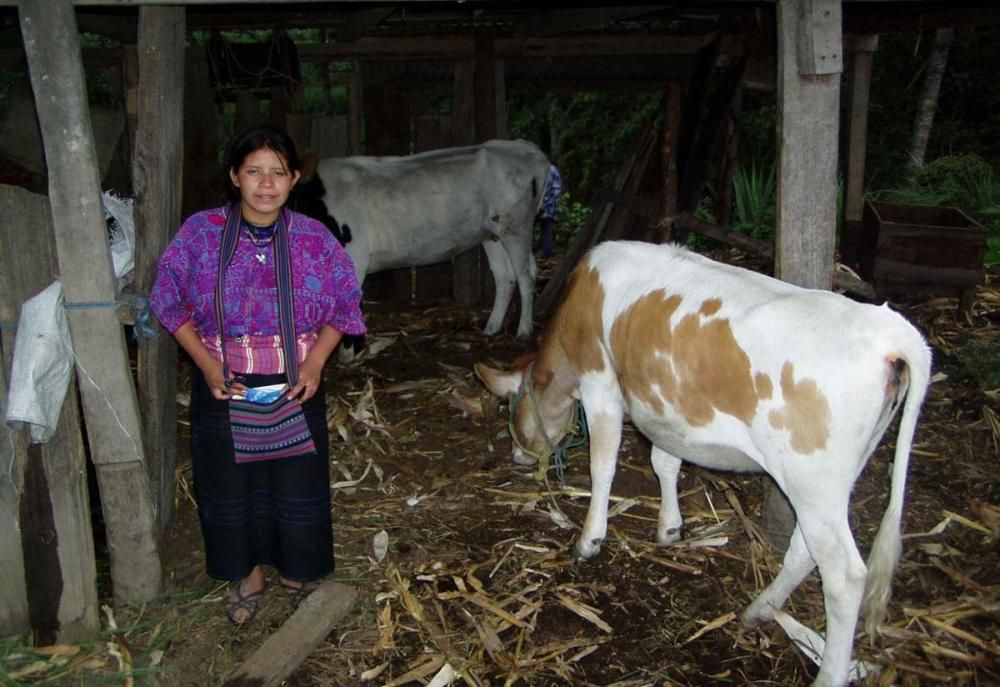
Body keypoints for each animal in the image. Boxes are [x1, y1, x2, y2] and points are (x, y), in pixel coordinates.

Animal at [298, 140, 548, 346]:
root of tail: (525, 148)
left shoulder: (355, 257)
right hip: (491, 233)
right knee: (505, 277)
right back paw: (492, 328)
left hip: (516, 227)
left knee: (526, 275)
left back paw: (524, 331)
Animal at [476, 242, 928, 687]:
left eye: (510, 407)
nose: (517, 456)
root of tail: (890, 331)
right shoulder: (668, 412)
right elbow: (664, 461)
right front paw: (670, 527)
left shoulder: (600, 383)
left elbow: (603, 465)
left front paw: (590, 539)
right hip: (832, 483)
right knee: (805, 550)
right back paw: (760, 609)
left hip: (812, 479)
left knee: (845, 577)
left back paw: (828, 674)